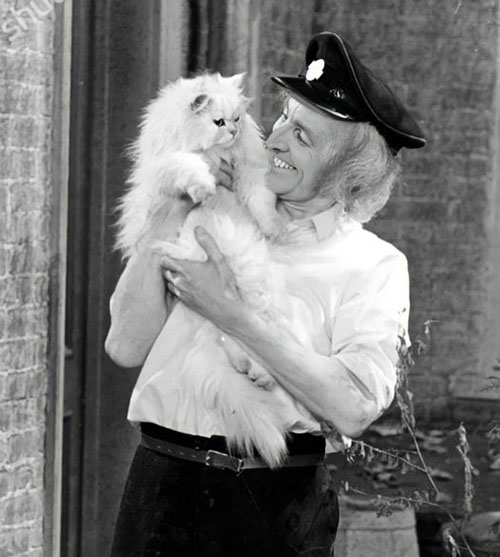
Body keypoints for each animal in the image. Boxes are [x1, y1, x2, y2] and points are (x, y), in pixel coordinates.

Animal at [117, 71, 294, 466]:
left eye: (238, 119)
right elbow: (191, 169)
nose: (233, 130)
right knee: (233, 340)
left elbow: (261, 202)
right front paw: (203, 189)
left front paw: (274, 228)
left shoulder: (250, 174)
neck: (215, 152)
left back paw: (258, 373)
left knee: (250, 338)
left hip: (249, 288)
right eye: (218, 122)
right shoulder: (172, 162)